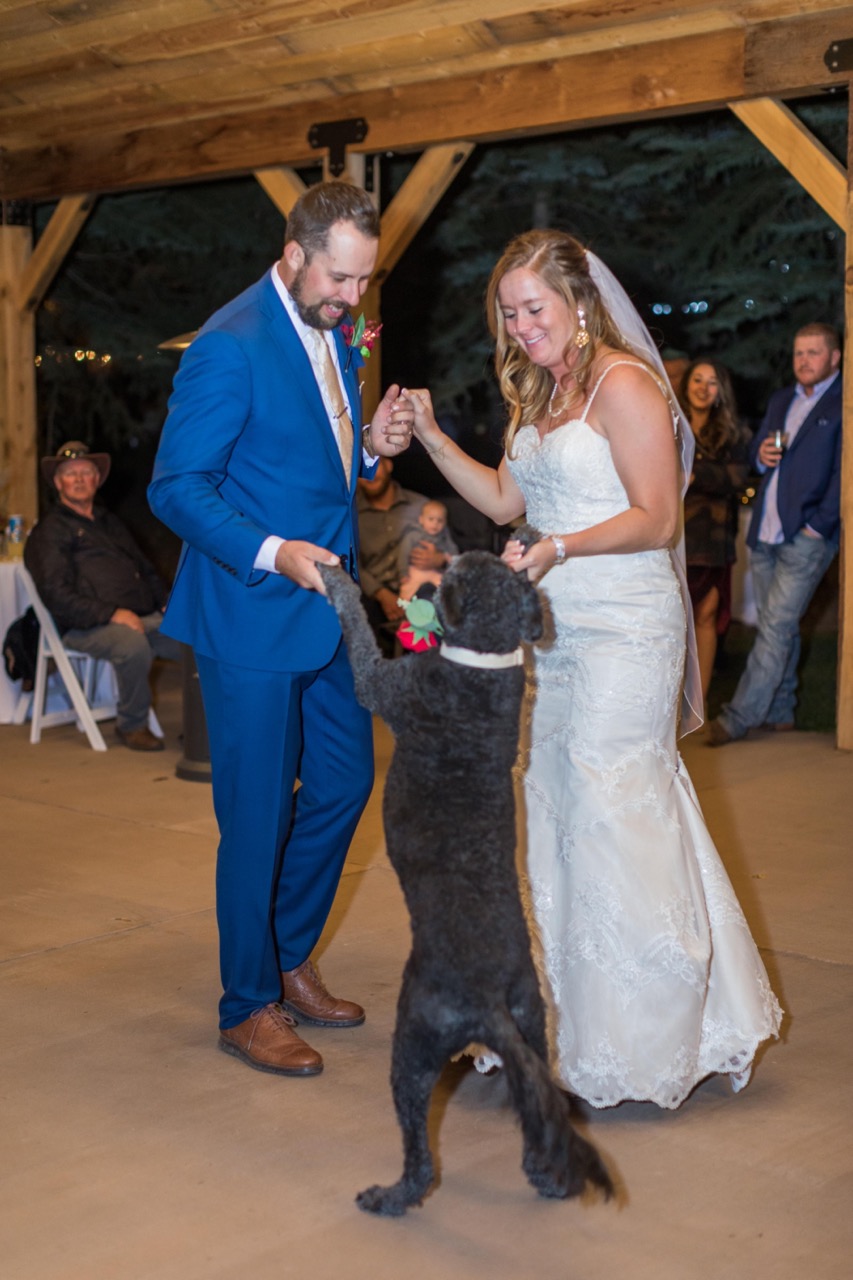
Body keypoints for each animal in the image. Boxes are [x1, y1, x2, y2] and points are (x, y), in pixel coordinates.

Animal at [318, 552, 612, 1218]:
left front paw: (335, 581)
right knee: (536, 1114)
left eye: (454, 568)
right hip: (534, 1029)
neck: (485, 656)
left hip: (413, 1043)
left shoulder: (382, 683)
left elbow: (356, 631)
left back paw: (388, 1196)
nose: (427, 572)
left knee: (421, 1158)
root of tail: (489, 1003)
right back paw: (545, 1176)